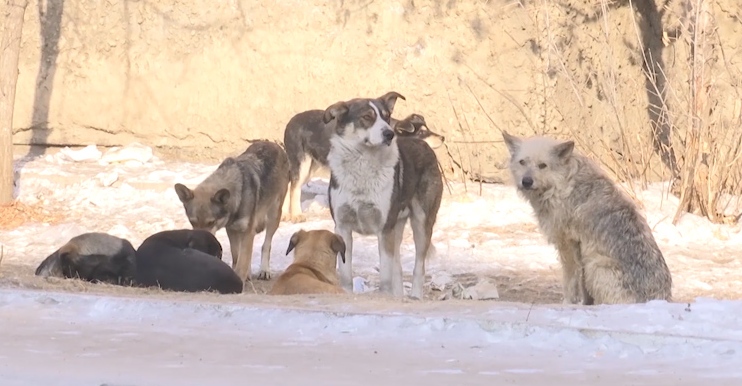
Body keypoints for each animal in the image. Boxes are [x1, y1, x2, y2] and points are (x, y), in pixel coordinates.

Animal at [282, 107, 444, 222]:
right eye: (422, 133)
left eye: (428, 129)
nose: (442, 137)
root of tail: (290, 121)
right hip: (301, 163)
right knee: (295, 187)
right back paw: (296, 215)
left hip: (311, 166)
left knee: (290, 184)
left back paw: (284, 214)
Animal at [322, 91, 448, 298]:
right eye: (367, 117)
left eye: (387, 117)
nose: (389, 133)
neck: (363, 164)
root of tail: (421, 142)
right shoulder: (342, 227)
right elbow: (346, 274)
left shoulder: (384, 229)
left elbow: (385, 277)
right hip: (396, 228)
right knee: (397, 266)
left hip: (421, 223)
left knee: (418, 266)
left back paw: (414, 296)